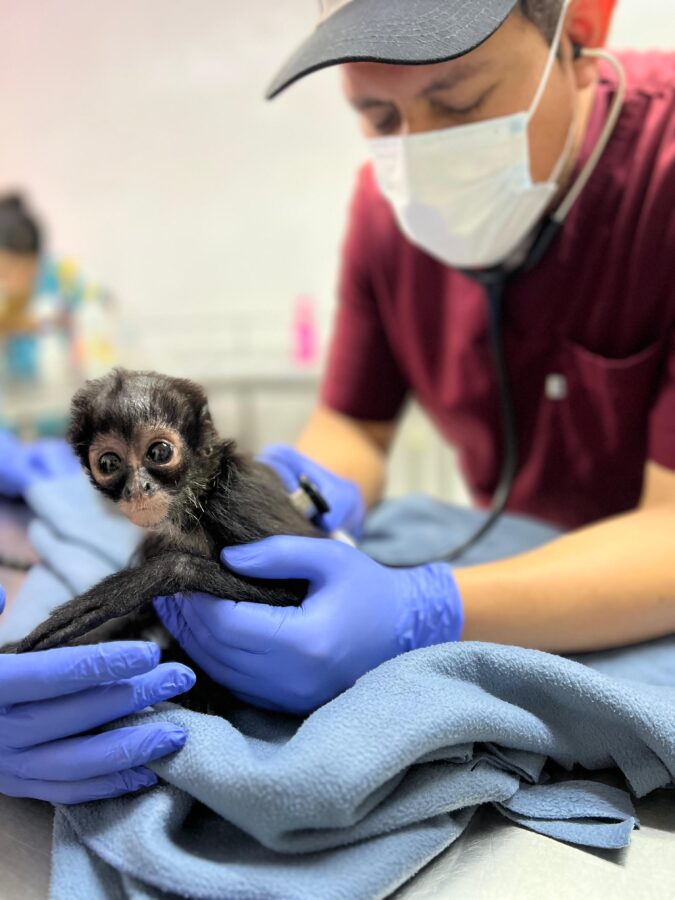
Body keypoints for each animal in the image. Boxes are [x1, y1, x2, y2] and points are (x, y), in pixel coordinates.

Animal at [6, 370, 324, 708]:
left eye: (159, 453)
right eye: (108, 463)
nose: (137, 488)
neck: (200, 493)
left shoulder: (237, 502)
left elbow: (297, 593)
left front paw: (122, 592)